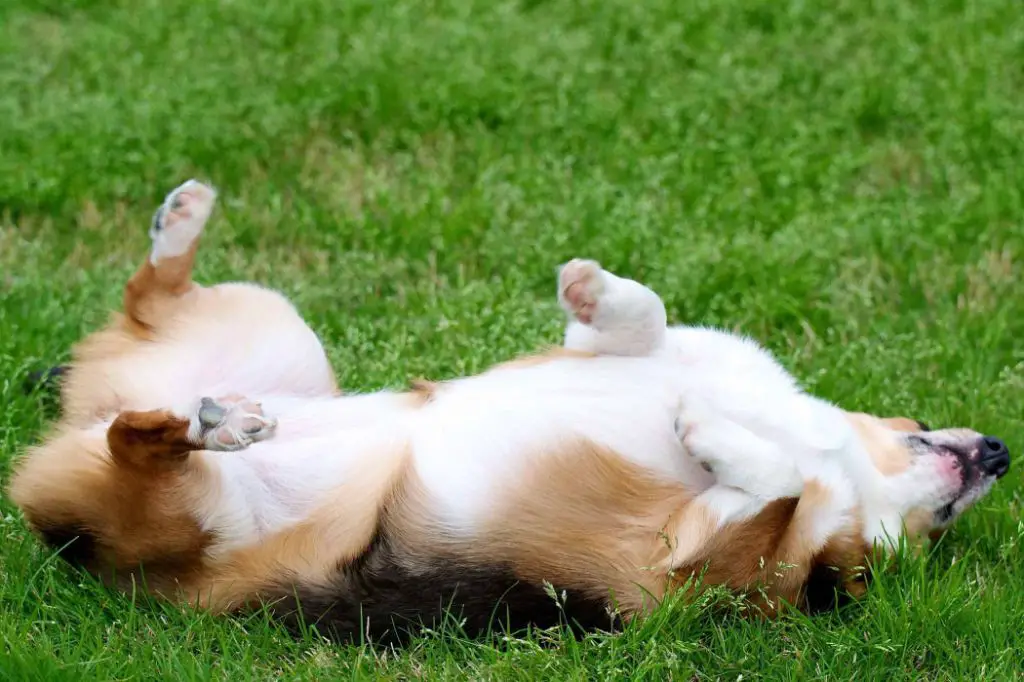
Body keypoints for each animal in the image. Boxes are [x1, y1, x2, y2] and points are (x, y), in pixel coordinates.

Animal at [8, 178, 1011, 638]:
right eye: (914, 422)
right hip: (276, 326)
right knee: (149, 310)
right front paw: (596, 289)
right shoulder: (615, 351)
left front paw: (707, 429)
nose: (1001, 452)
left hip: (181, 514)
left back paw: (216, 423)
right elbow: (643, 319)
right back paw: (183, 240)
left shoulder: (683, 573)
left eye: (929, 542)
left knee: (141, 444)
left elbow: (779, 490)